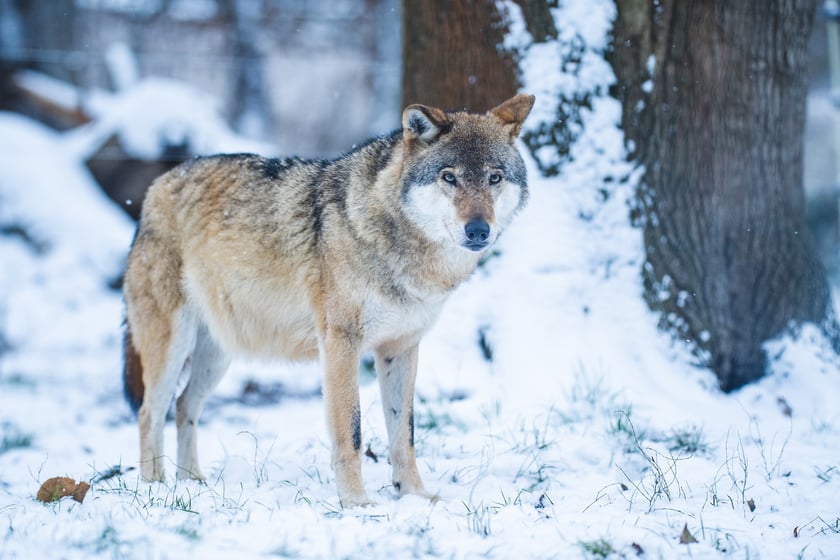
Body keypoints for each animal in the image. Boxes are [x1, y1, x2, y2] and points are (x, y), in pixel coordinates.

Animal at [121, 93, 536, 508]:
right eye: (449, 177)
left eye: (494, 178)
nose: (479, 230)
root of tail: (159, 184)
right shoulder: (341, 344)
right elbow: (351, 433)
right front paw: (356, 503)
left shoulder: (401, 348)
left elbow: (404, 434)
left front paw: (415, 495)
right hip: (173, 347)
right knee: (149, 412)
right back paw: (155, 487)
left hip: (217, 357)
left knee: (183, 407)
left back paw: (191, 483)